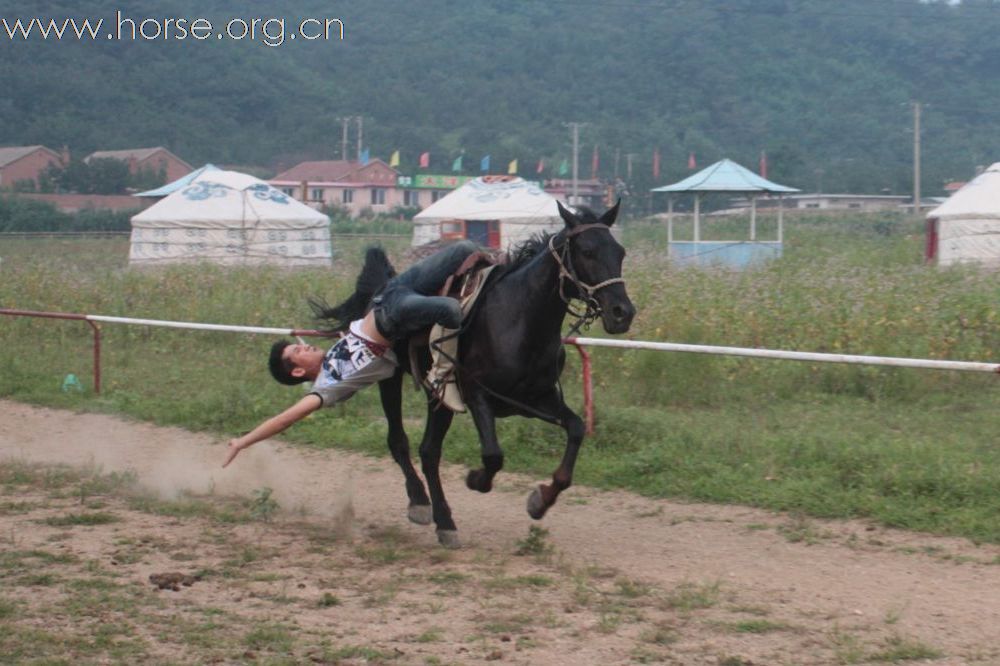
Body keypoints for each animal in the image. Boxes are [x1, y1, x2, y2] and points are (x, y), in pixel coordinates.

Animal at [316, 202, 636, 544]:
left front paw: (541, 500)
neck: (519, 320)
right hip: (390, 376)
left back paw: (444, 521)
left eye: (620, 252)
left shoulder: (536, 400)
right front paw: (475, 479)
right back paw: (420, 502)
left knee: (429, 452)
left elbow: (575, 429)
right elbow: (493, 455)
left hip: (439, 399)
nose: (623, 313)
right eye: (587, 251)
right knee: (399, 441)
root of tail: (382, 290)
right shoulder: (477, 396)